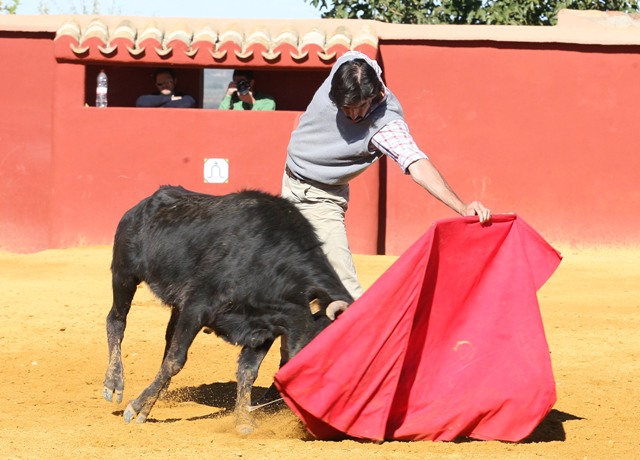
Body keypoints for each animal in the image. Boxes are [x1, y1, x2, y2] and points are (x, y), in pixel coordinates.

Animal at [102, 185, 352, 434]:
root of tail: (141, 206)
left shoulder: (266, 328)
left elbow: (248, 372)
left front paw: (243, 421)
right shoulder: (197, 306)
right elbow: (176, 360)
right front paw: (136, 408)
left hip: (173, 304)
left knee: (168, 338)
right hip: (124, 274)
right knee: (117, 320)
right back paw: (113, 384)